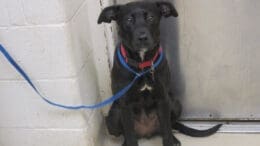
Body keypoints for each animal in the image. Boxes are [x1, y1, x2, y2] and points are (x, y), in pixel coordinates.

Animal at [97, 1, 221, 146]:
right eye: (128, 20)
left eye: (151, 18)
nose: (142, 38)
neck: (143, 66)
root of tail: (147, 132)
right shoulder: (125, 104)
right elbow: (130, 134)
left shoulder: (163, 99)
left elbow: (166, 130)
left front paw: (170, 141)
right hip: (113, 117)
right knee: (127, 133)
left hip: (175, 104)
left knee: (168, 126)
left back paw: (174, 139)